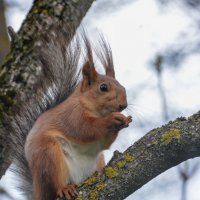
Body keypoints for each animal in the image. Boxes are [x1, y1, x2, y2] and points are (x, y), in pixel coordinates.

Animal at [3, 25, 132, 200]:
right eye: (103, 87)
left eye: (122, 86)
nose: (123, 105)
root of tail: (37, 190)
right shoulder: (72, 115)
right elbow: (86, 129)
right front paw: (112, 119)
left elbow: (104, 142)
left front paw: (125, 120)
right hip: (49, 157)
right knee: (54, 185)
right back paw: (64, 189)